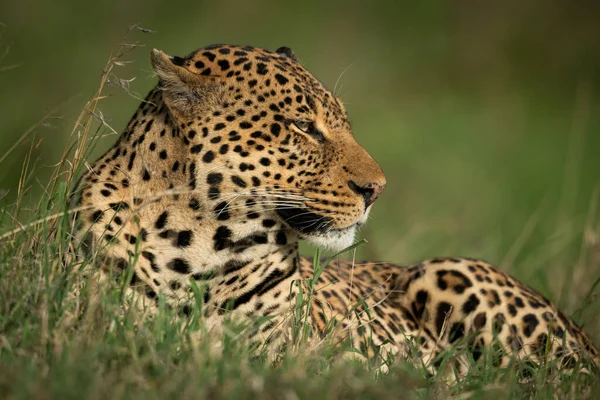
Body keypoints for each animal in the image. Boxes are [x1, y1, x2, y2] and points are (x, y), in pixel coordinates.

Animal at [71, 43, 600, 378]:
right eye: (303, 126)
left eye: (344, 122)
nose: (377, 189)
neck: (199, 244)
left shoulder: (304, 356)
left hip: (446, 273)